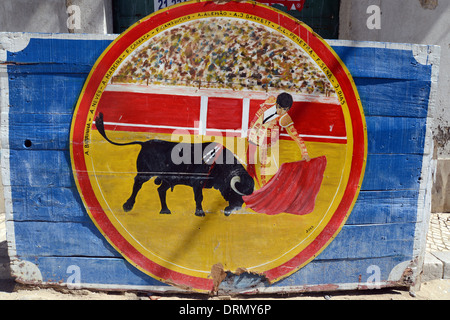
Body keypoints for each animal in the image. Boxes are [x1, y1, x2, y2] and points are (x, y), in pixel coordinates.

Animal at [95, 113, 255, 218]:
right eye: (234, 191)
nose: (236, 207)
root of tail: (145, 143)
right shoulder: (197, 182)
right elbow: (199, 197)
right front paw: (200, 213)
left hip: (168, 179)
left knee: (160, 189)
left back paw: (165, 210)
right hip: (144, 173)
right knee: (137, 185)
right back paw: (128, 206)